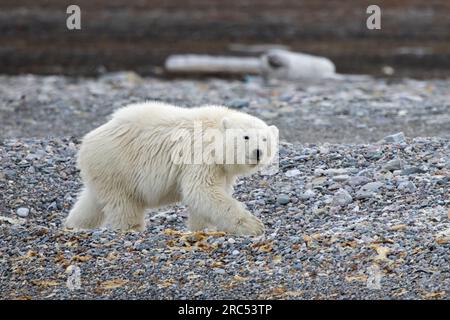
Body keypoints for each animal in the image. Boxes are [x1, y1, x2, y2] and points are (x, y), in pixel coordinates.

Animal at [65, 101, 278, 236]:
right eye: (246, 137)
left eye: (265, 139)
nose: (258, 152)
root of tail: (86, 142)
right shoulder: (199, 154)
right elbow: (202, 190)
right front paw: (253, 226)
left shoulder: (221, 169)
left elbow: (207, 198)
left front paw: (201, 229)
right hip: (116, 165)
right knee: (123, 204)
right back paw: (132, 228)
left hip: (104, 173)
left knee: (91, 202)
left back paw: (73, 225)